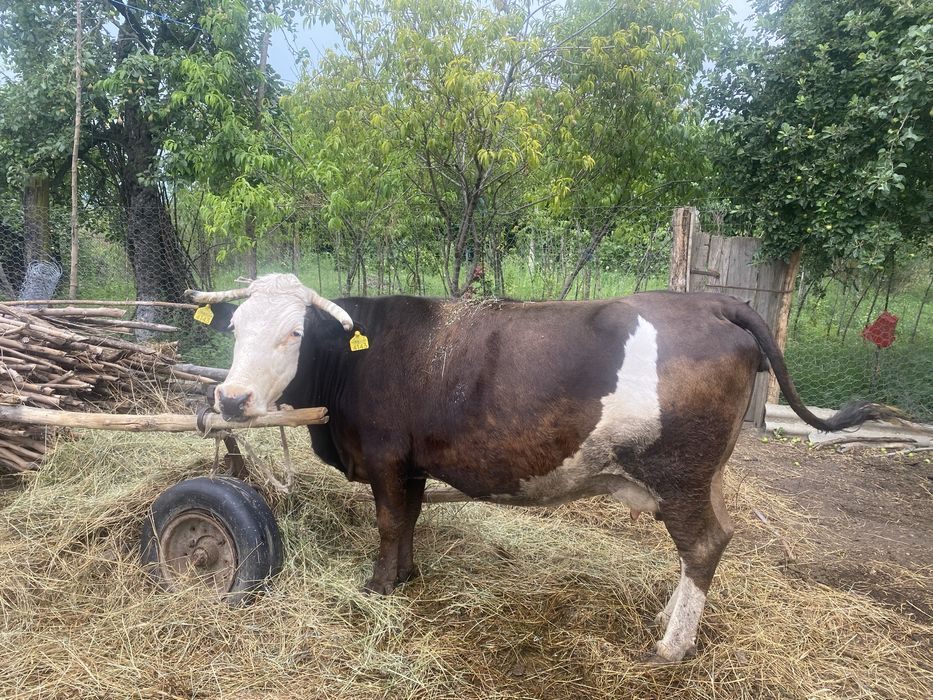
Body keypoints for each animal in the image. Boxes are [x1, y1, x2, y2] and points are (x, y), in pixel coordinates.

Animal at [187, 273, 896, 663]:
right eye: (236, 327)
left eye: (295, 333)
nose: (232, 400)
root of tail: (711, 303)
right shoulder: (411, 462)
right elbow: (409, 519)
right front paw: (409, 576)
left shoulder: (386, 455)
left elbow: (388, 523)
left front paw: (380, 587)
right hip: (706, 474)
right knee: (708, 542)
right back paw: (668, 621)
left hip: (680, 473)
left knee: (703, 543)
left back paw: (670, 647)